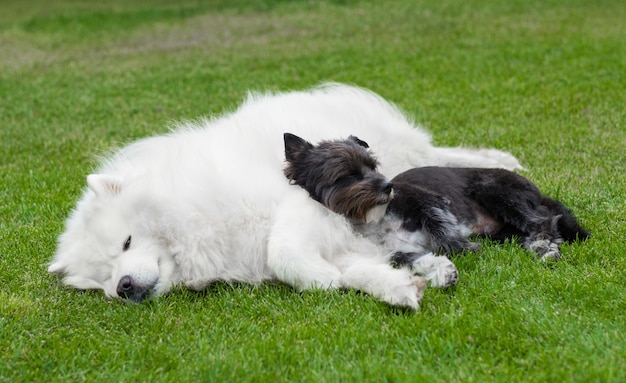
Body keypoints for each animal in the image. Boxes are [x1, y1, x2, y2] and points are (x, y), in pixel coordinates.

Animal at [46, 83, 520, 308]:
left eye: (126, 242)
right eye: (102, 280)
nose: (123, 286)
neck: (195, 215)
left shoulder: (303, 208)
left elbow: (286, 252)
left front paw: (324, 280)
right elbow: (360, 271)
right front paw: (399, 287)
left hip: (399, 156)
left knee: (438, 153)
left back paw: (504, 158)